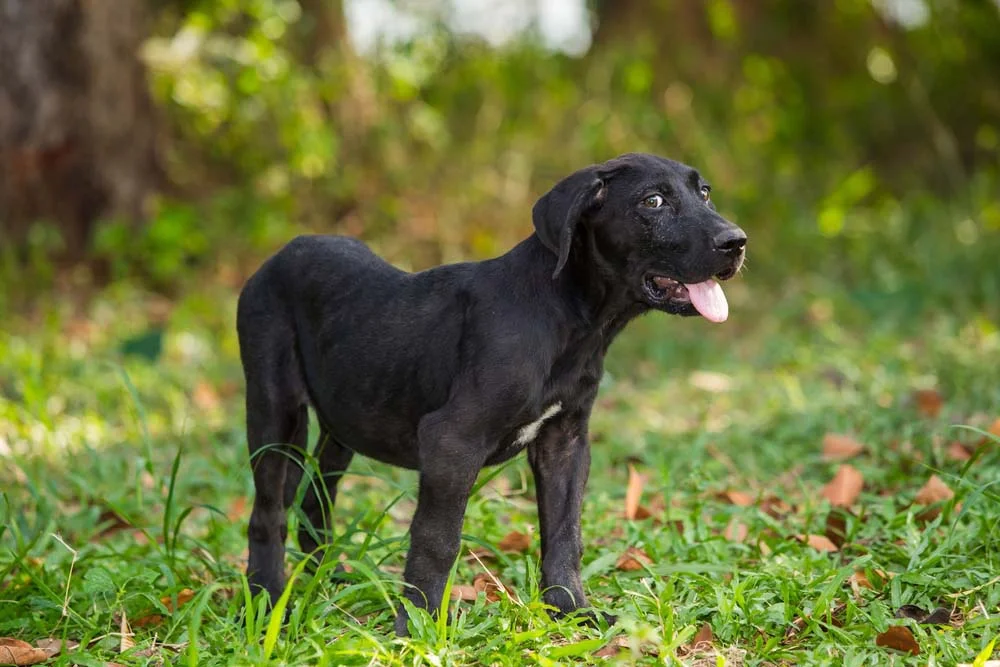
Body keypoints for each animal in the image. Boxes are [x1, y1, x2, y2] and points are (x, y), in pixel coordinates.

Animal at [238, 153, 748, 636]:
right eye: (653, 202)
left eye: (704, 193)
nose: (737, 242)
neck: (575, 319)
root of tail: (281, 253)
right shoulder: (451, 441)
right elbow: (437, 540)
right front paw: (417, 627)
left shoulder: (566, 440)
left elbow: (565, 533)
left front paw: (572, 611)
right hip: (274, 409)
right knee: (268, 512)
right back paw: (266, 601)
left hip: (343, 418)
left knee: (313, 499)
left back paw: (329, 576)